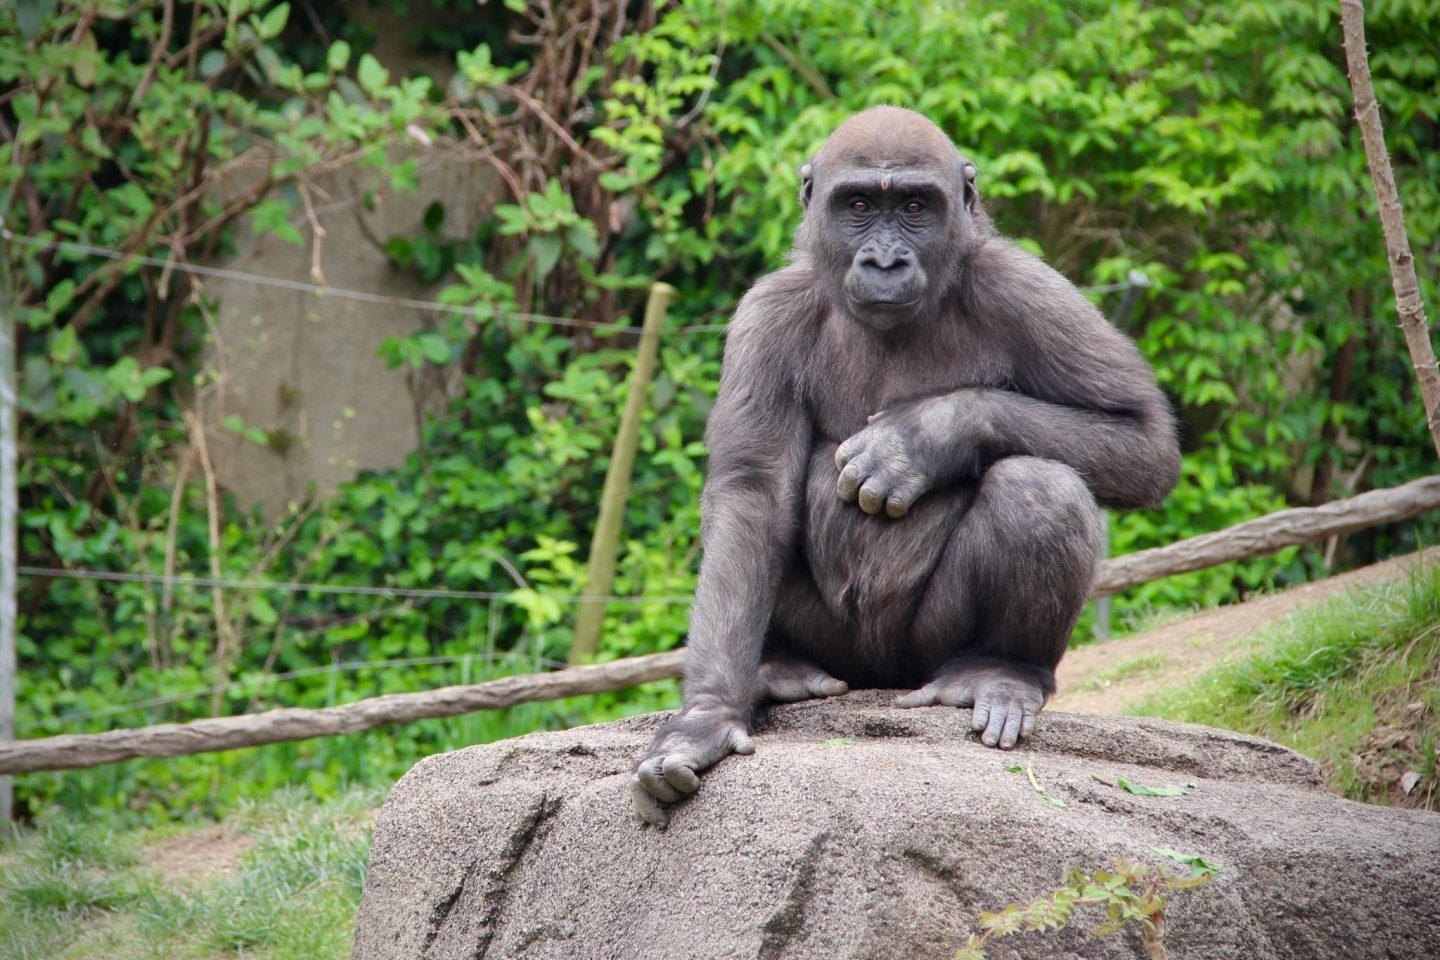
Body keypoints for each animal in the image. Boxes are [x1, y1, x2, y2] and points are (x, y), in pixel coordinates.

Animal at [633, 103, 1180, 829]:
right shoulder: (767, 314)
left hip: (920, 656)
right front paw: (706, 718)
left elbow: (1143, 439)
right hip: (843, 654)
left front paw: (923, 438)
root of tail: (877, 682)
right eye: (860, 205)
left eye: (916, 206)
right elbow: (752, 493)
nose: (886, 260)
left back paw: (1001, 669)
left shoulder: (1026, 287)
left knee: (1040, 488)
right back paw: (777, 667)